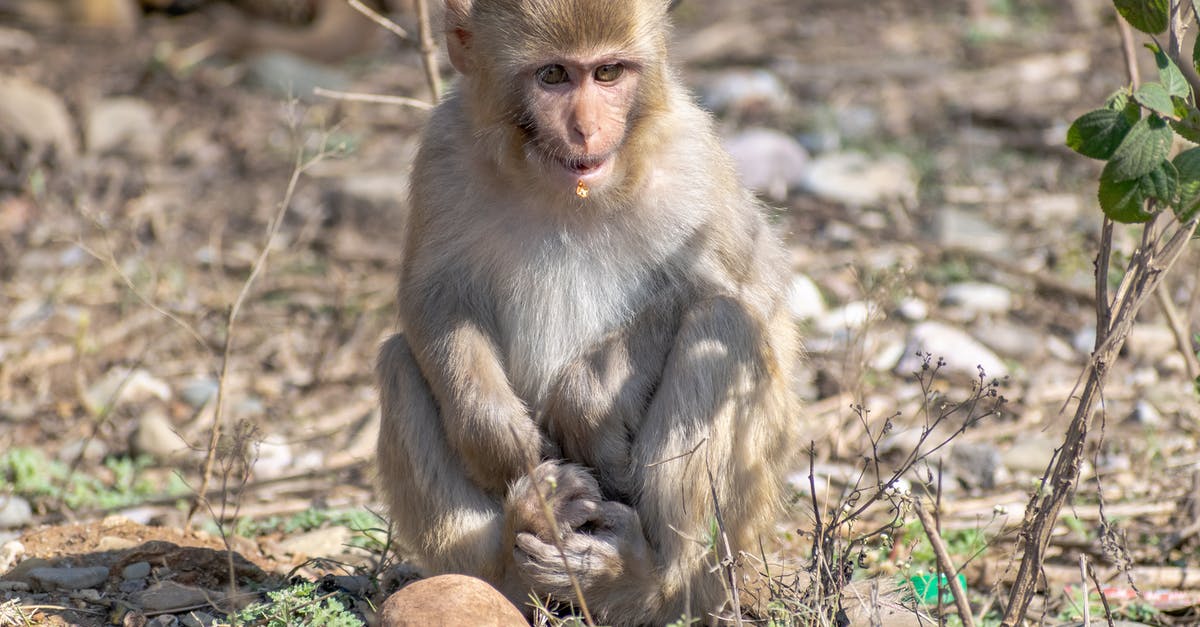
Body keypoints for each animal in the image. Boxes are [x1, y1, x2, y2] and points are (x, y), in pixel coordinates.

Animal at [374, 0, 803, 624]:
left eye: (608, 73)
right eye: (554, 75)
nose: (587, 129)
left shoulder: (693, 156)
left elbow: (747, 292)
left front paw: (585, 403)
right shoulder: (443, 152)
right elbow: (431, 296)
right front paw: (498, 438)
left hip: (741, 540)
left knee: (724, 326)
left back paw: (646, 584)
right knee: (400, 360)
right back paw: (521, 539)